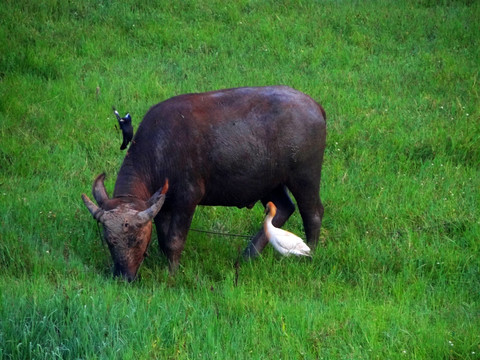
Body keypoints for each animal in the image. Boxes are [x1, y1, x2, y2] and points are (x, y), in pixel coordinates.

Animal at [83, 85, 330, 282]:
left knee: (313, 213)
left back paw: (310, 253)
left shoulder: (188, 198)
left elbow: (174, 240)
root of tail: (317, 107)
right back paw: (247, 256)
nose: (124, 277)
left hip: (304, 176)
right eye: (109, 241)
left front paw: (173, 273)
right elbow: (163, 238)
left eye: (136, 239)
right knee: (284, 208)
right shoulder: (163, 204)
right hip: (269, 183)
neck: (160, 148)